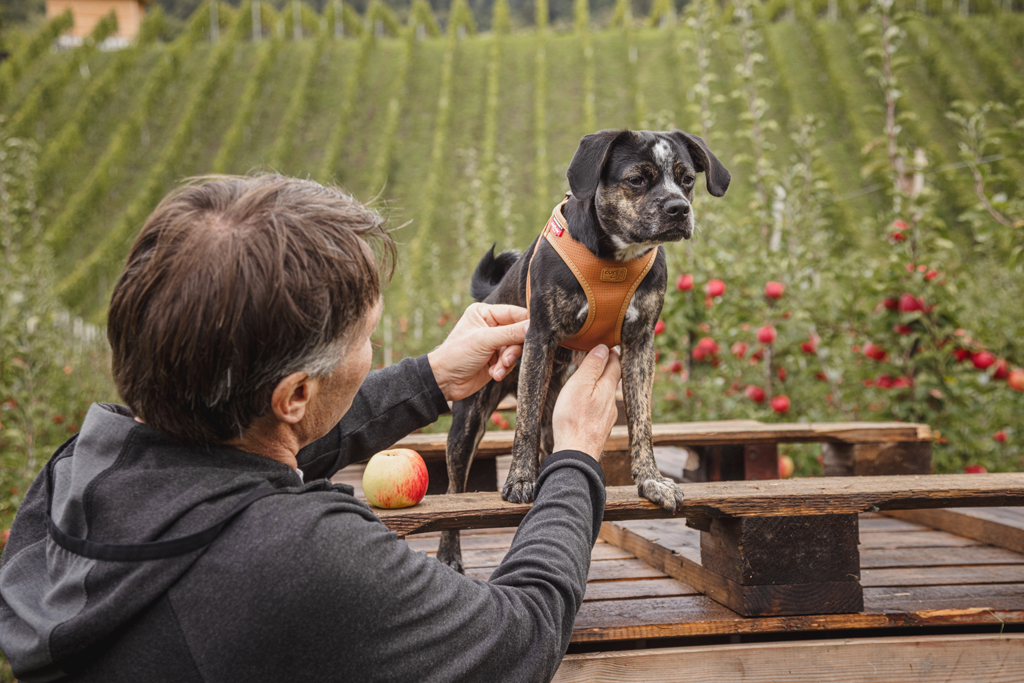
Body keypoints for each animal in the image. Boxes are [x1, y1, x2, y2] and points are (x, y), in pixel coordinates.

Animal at [436, 131, 733, 573]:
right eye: (637, 180)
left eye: (687, 180)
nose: (679, 208)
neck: (617, 259)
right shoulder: (539, 338)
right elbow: (522, 423)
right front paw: (519, 479)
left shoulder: (640, 345)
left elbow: (642, 422)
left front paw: (651, 481)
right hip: (467, 424)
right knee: (454, 491)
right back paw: (449, 554)